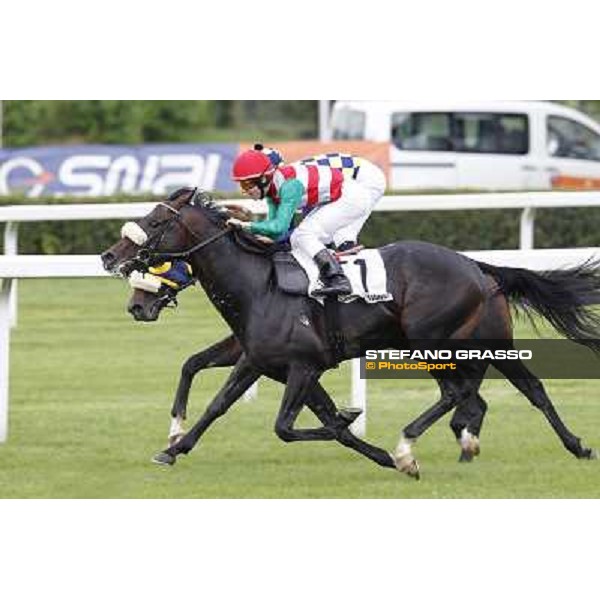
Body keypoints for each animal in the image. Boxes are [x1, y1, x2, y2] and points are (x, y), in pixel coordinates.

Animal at [102, 189, 600, 478]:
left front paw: (367, 433)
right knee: (523, 390)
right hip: (485, 345)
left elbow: (286, 427)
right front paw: (174, 445)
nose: (110, 257)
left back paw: (409, 447)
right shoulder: (259, 360)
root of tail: (479, 268)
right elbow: (216, 401)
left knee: (461, 393)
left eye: (155, 223)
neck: (258, 284)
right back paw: (571, 446)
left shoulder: (303, 366)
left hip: (431, 341)